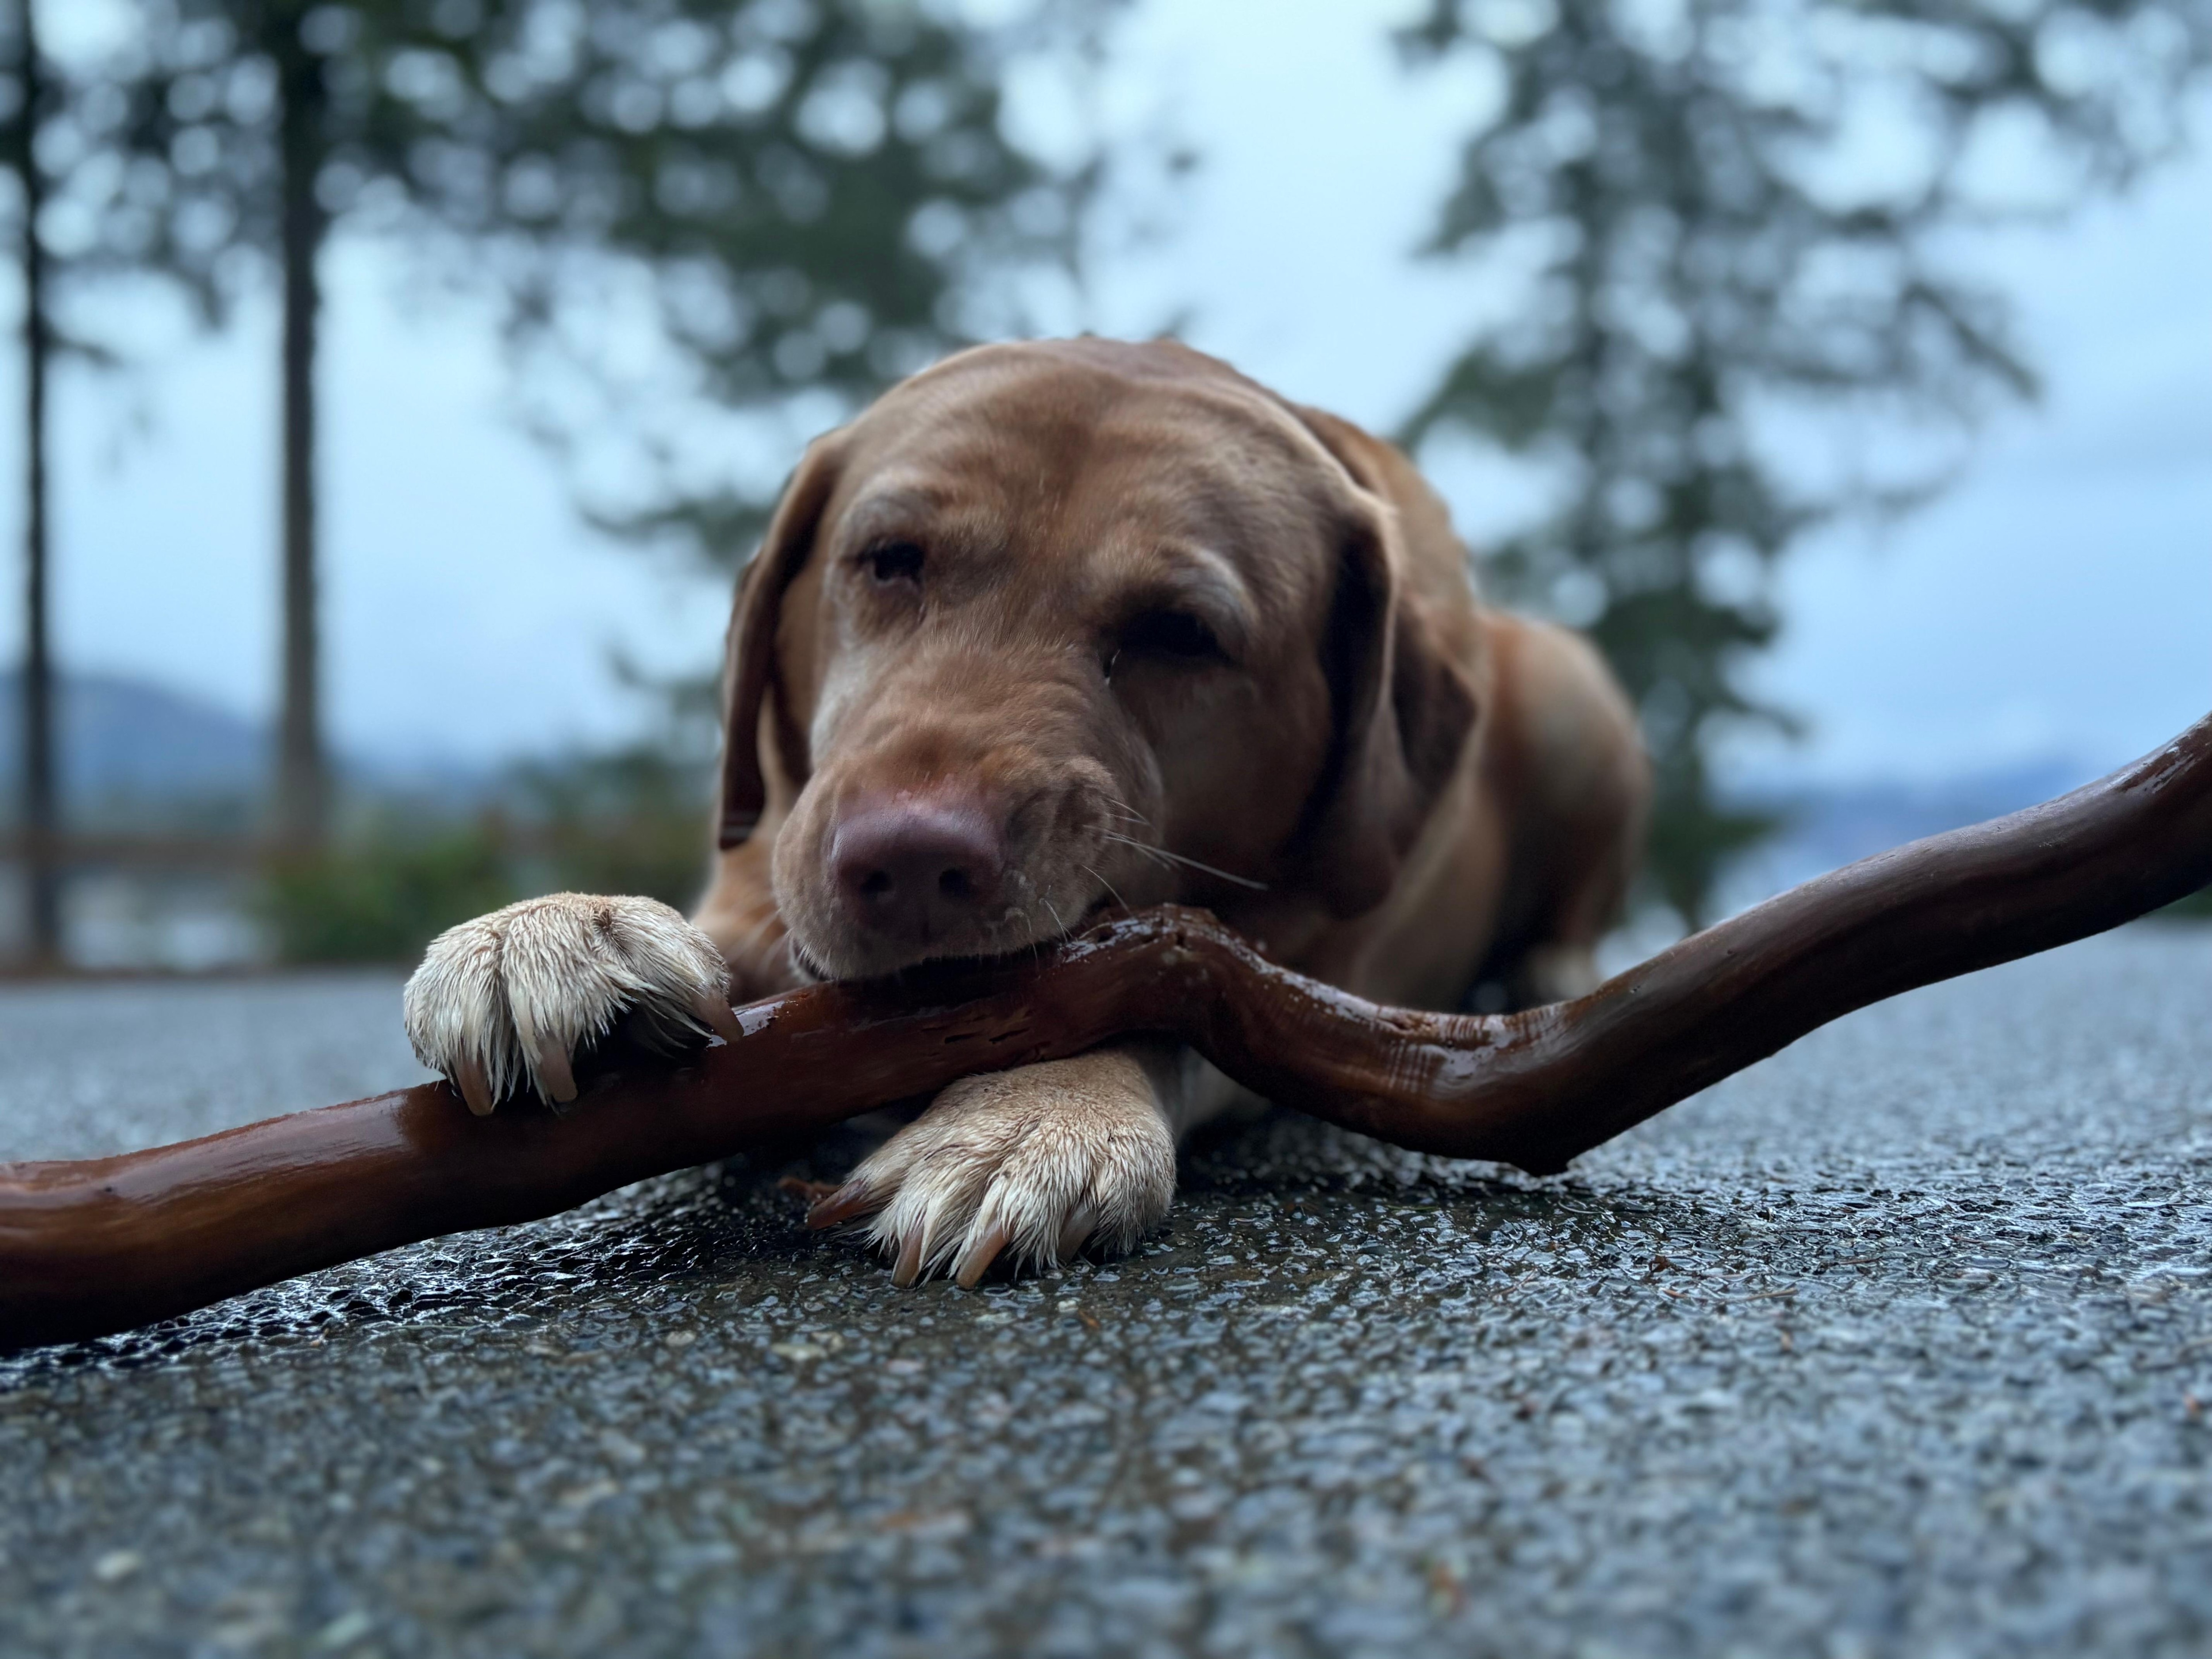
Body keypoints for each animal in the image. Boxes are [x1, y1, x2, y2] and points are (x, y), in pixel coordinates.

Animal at [403, 337, 1649, 1287]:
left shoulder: (1302, 967)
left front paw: (1031, 1113)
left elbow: (1168, 999)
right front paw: (564, 932)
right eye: (888, 560)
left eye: (1181, 634)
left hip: (1574, 691)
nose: (910, 860)